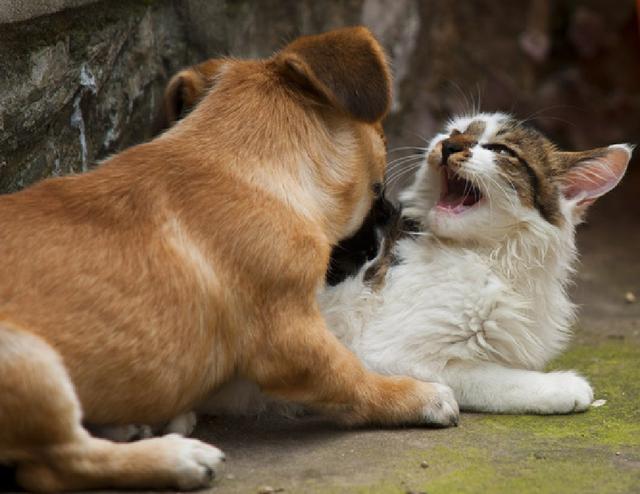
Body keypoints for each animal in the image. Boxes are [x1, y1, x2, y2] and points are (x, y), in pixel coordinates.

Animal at [2, 29, 458, 492]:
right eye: (377, 188)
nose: (395, 215)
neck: (243, 164)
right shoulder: (291, 338)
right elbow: (350, 375)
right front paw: (414, 395)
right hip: (28, 360)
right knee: (57, 464)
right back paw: (178, 459)